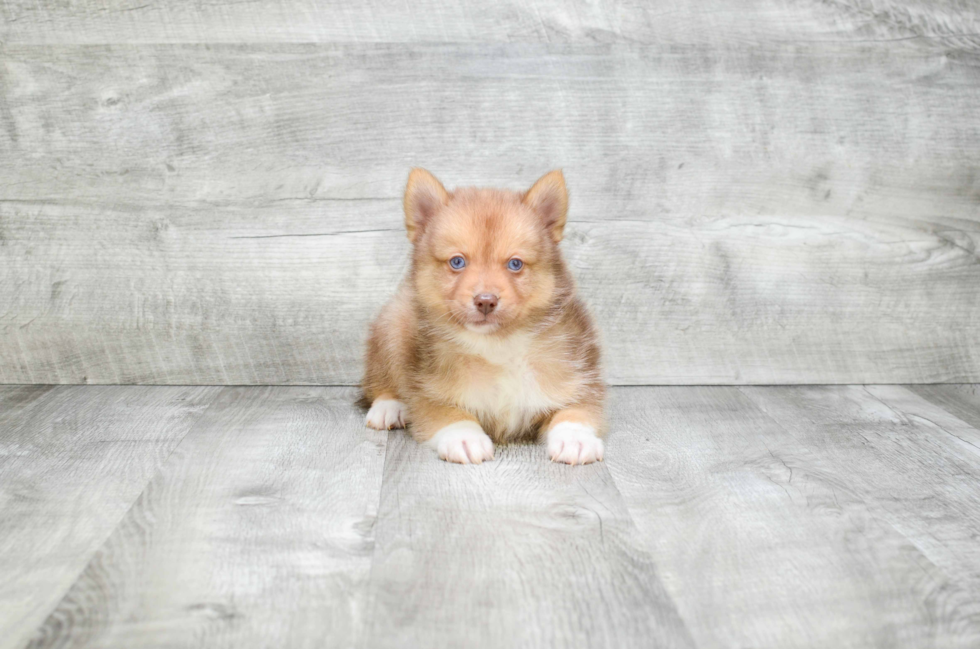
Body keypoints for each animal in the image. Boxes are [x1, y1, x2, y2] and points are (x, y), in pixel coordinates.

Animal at [360, 167, 604, 460]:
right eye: (457, 262)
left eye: (515, 264)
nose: (485, 301)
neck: (498, 345)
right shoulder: (427, 391)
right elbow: (449, 414)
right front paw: (465, 438)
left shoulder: (579, 379)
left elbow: (575, 410)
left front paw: (574, 439)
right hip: (392, 326)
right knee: (379, 378)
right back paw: (389, 407)